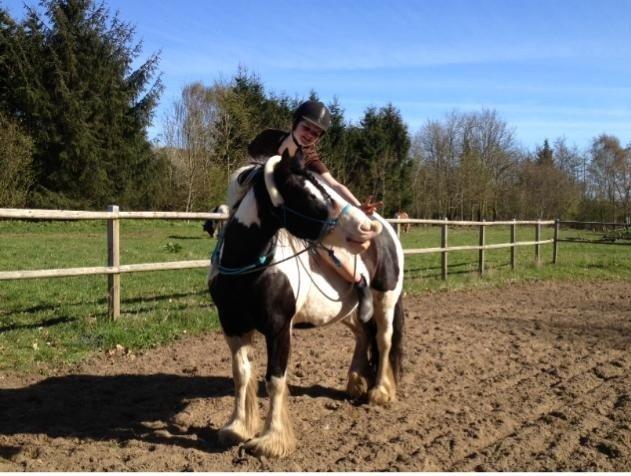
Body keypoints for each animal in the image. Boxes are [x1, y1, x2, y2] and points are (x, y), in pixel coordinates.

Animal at [207, 152, 404, 458]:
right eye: (307, 193)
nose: (367, 228)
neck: (246, 269)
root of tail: (388, 231)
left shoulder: (278, 329)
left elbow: (275, 380)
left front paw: (271, 440)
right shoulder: (232, 325)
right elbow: (241, 374)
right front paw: (237, 428)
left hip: (387, 301)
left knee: (383, 341)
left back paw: (380, 392)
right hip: (348, 312)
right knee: (363, 335)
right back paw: (356, 383)